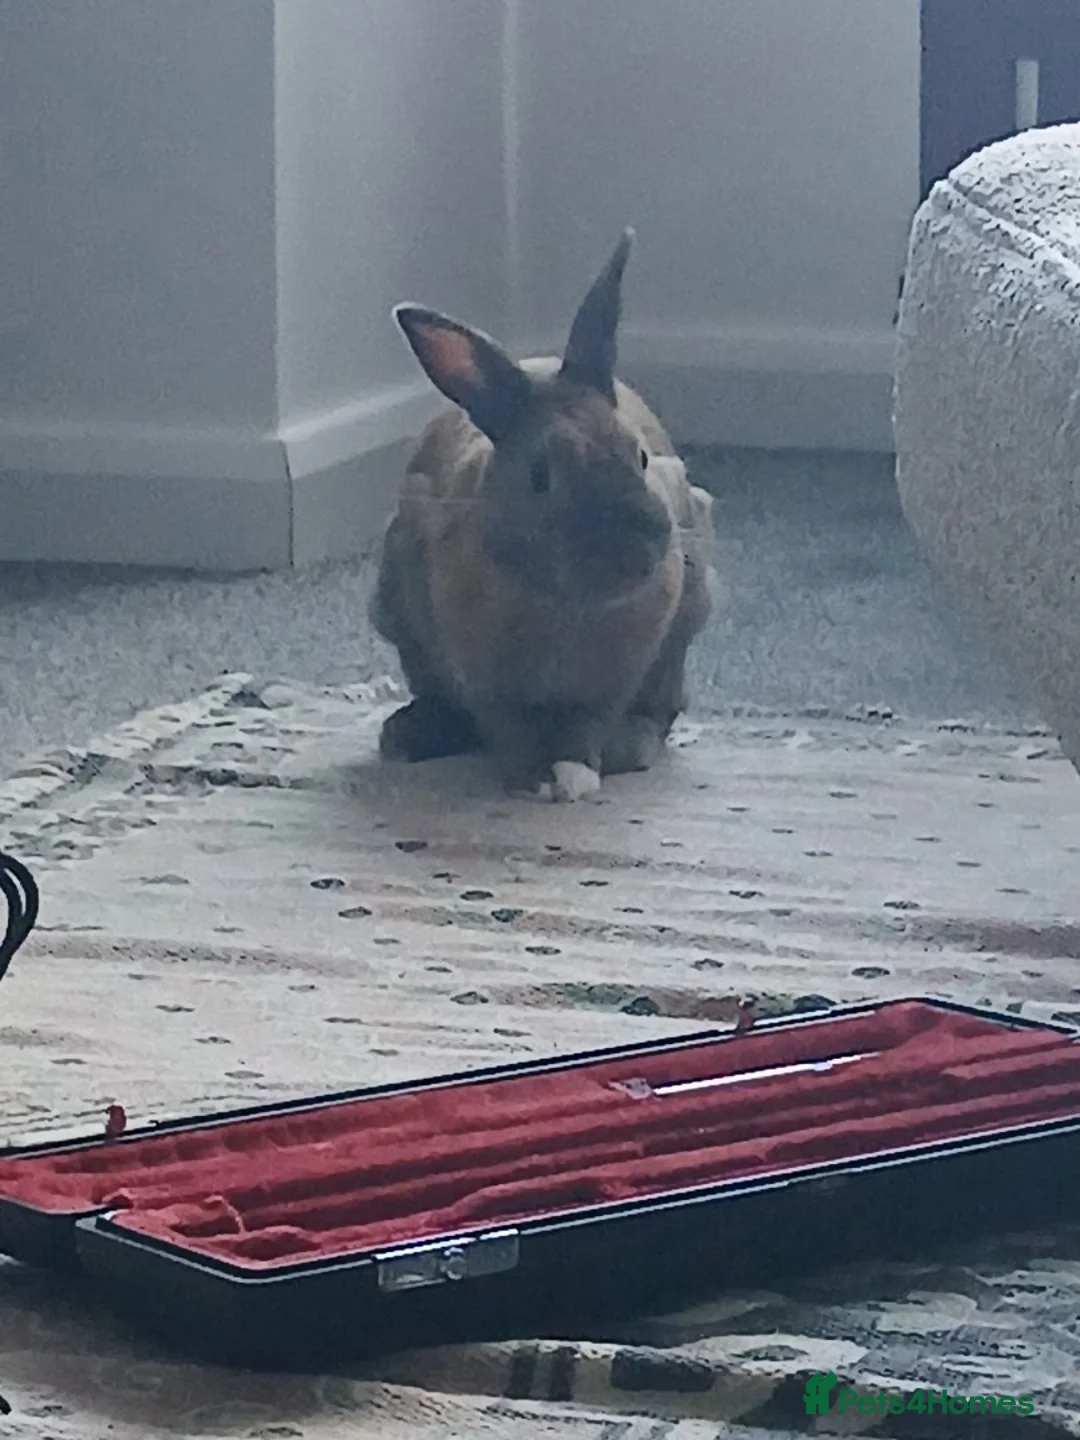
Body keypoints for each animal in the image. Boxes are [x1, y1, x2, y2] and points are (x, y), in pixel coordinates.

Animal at [370, 227, 716, 802]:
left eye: (640, 457)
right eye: (541, 475)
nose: (638, 549)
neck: (565, 601)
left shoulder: (612, 680)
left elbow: (589, 723)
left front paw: (575, 771)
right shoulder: (487, 680)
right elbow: (506, 725)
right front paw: (532, 777)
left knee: (663, 706)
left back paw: (633, 745)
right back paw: (409, 734)